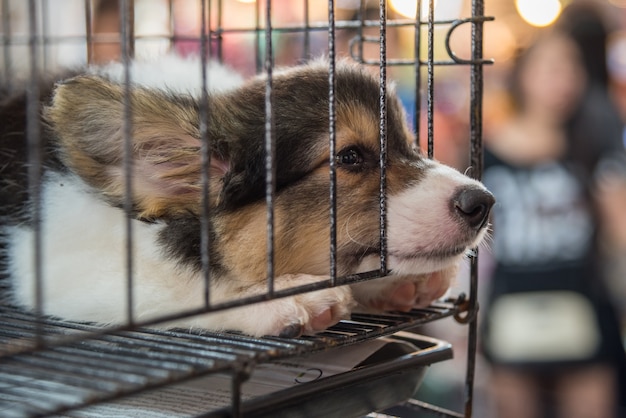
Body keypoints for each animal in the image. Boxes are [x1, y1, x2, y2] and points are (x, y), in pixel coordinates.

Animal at [0, 50, 492, 336]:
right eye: (350, 156)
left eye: (411, 144)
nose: (483, 203)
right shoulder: (57, 263)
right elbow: (186, 285)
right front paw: (287, 298)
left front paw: (391, 282)